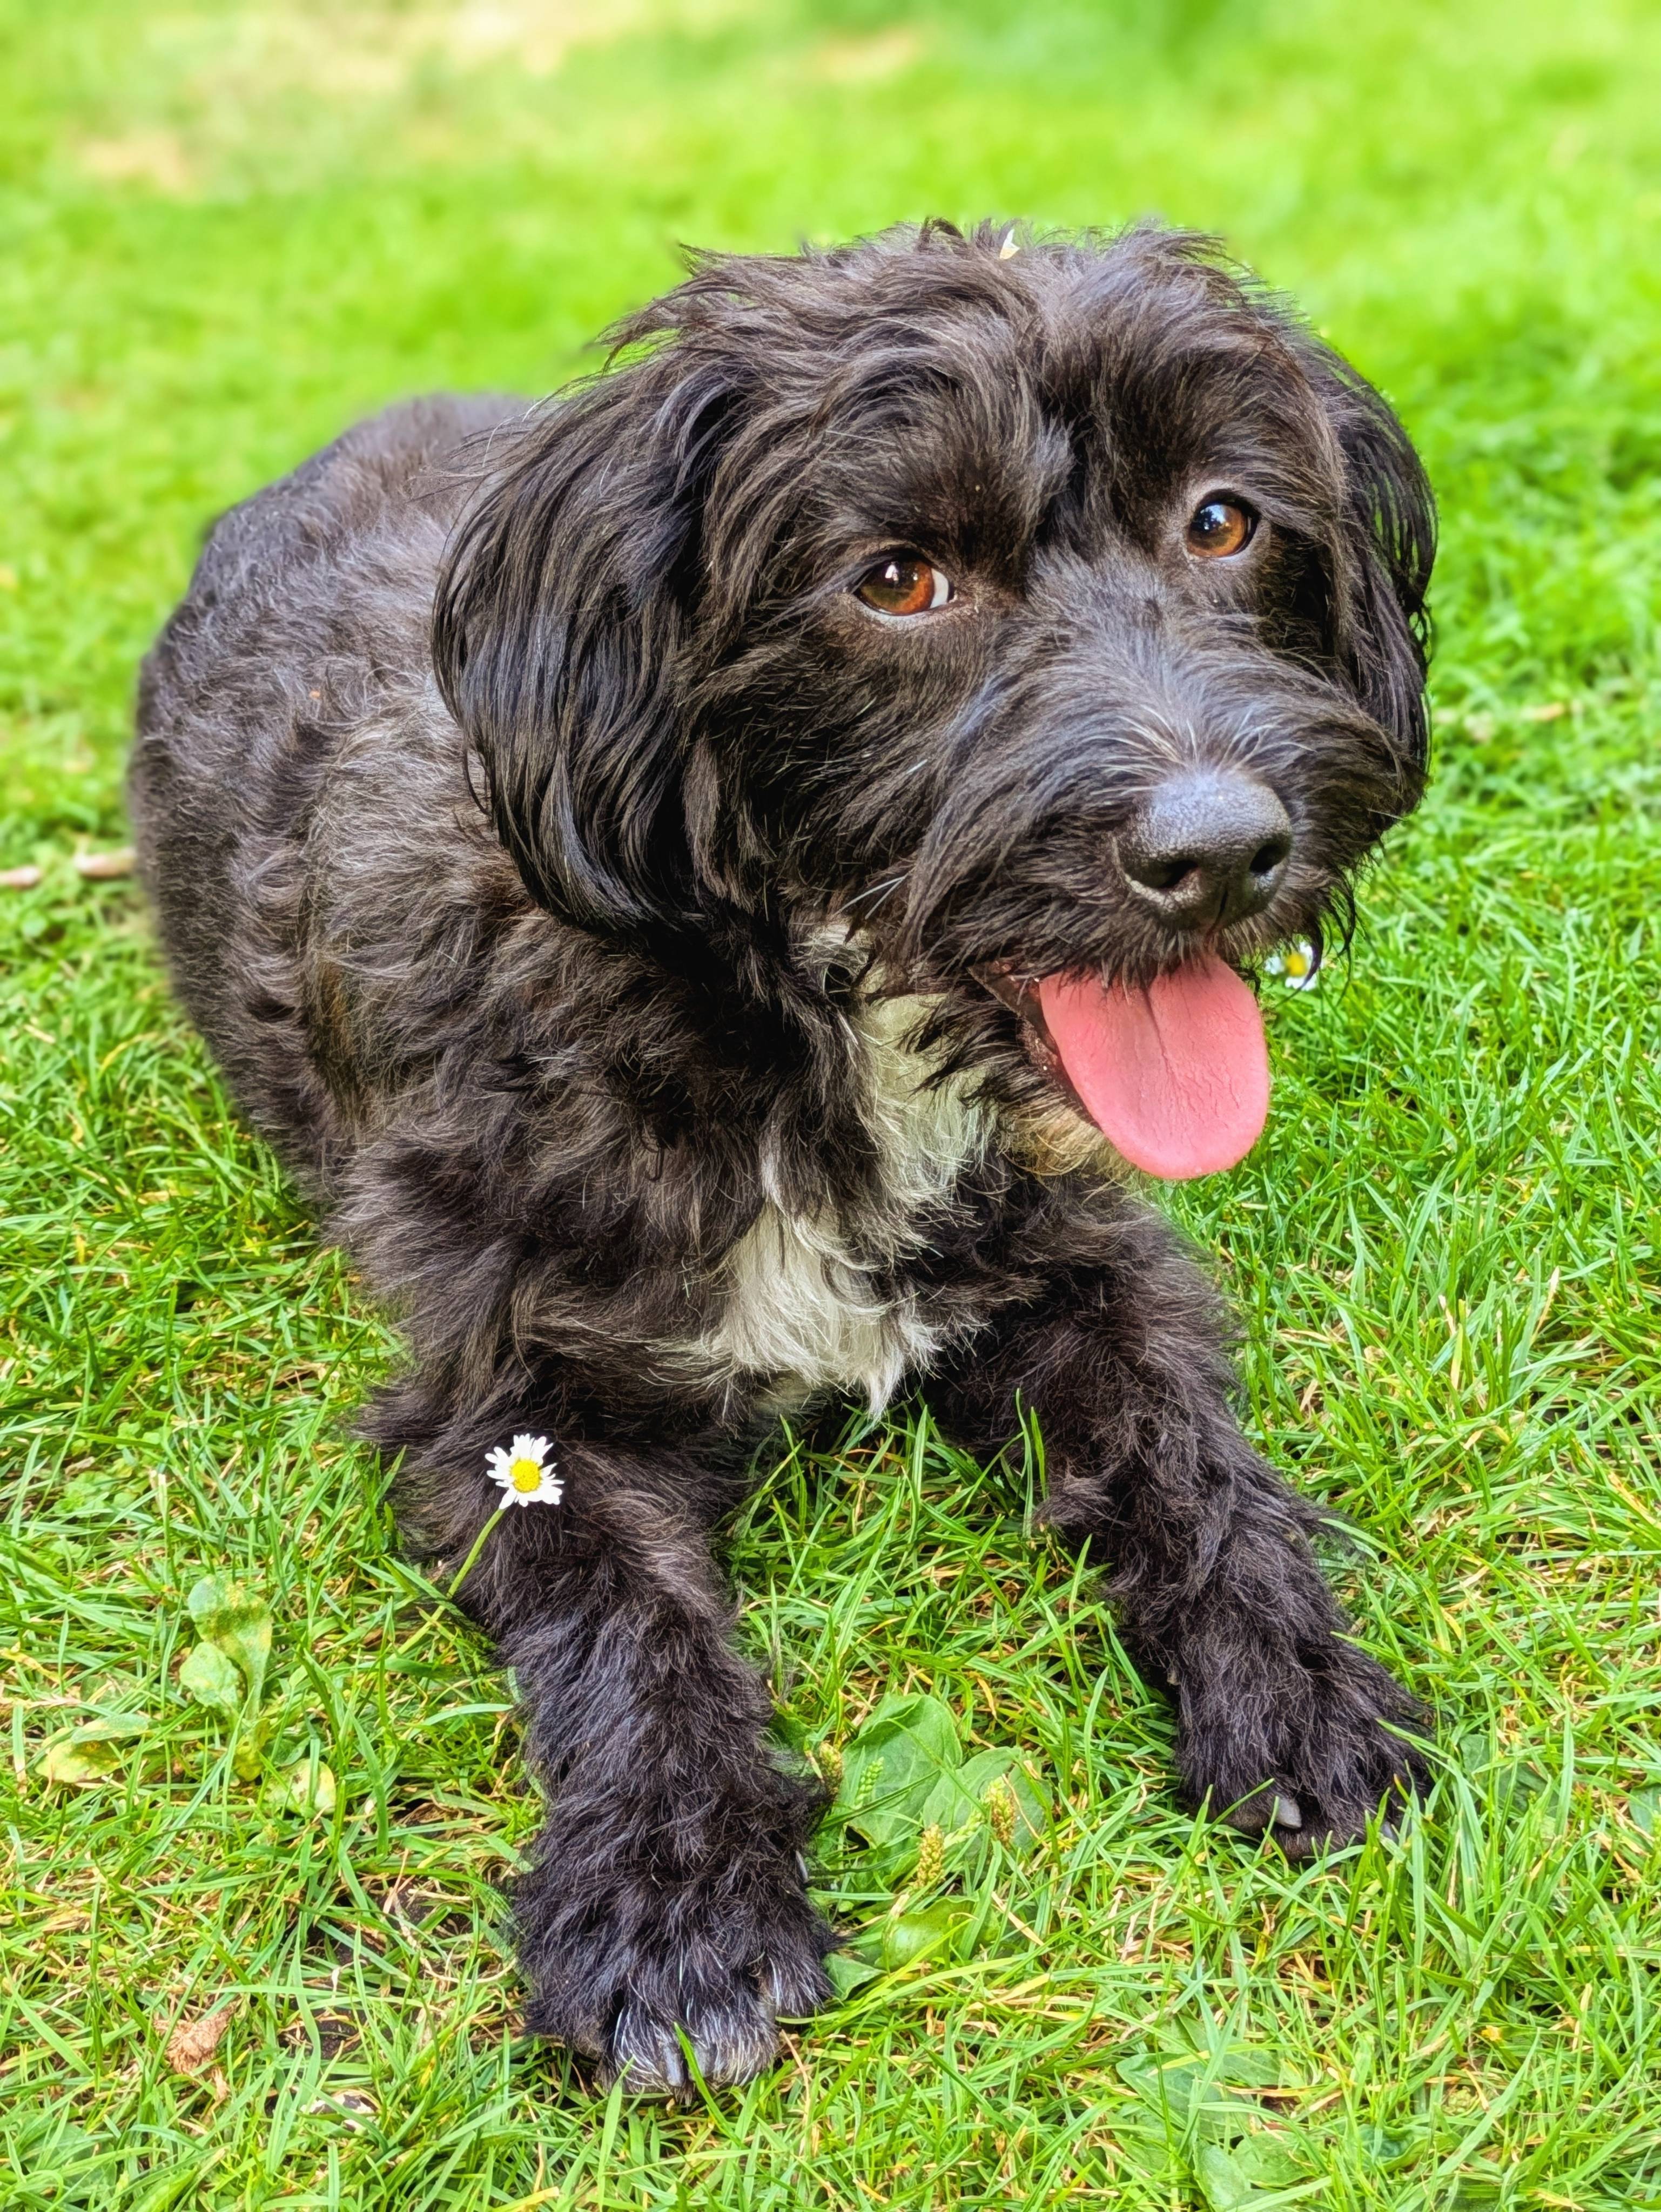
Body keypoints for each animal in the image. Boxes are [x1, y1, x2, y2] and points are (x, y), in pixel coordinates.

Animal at [131, 219, 1435, 2094]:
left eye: (1219, 519)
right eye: (895, 579)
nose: (1223, 850)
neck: (814, 1023)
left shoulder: (1081, 1261)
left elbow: (1194, 1475)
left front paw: (1298, 1695)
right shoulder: (515, 1407)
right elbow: (636, 1629)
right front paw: (675, 1904)